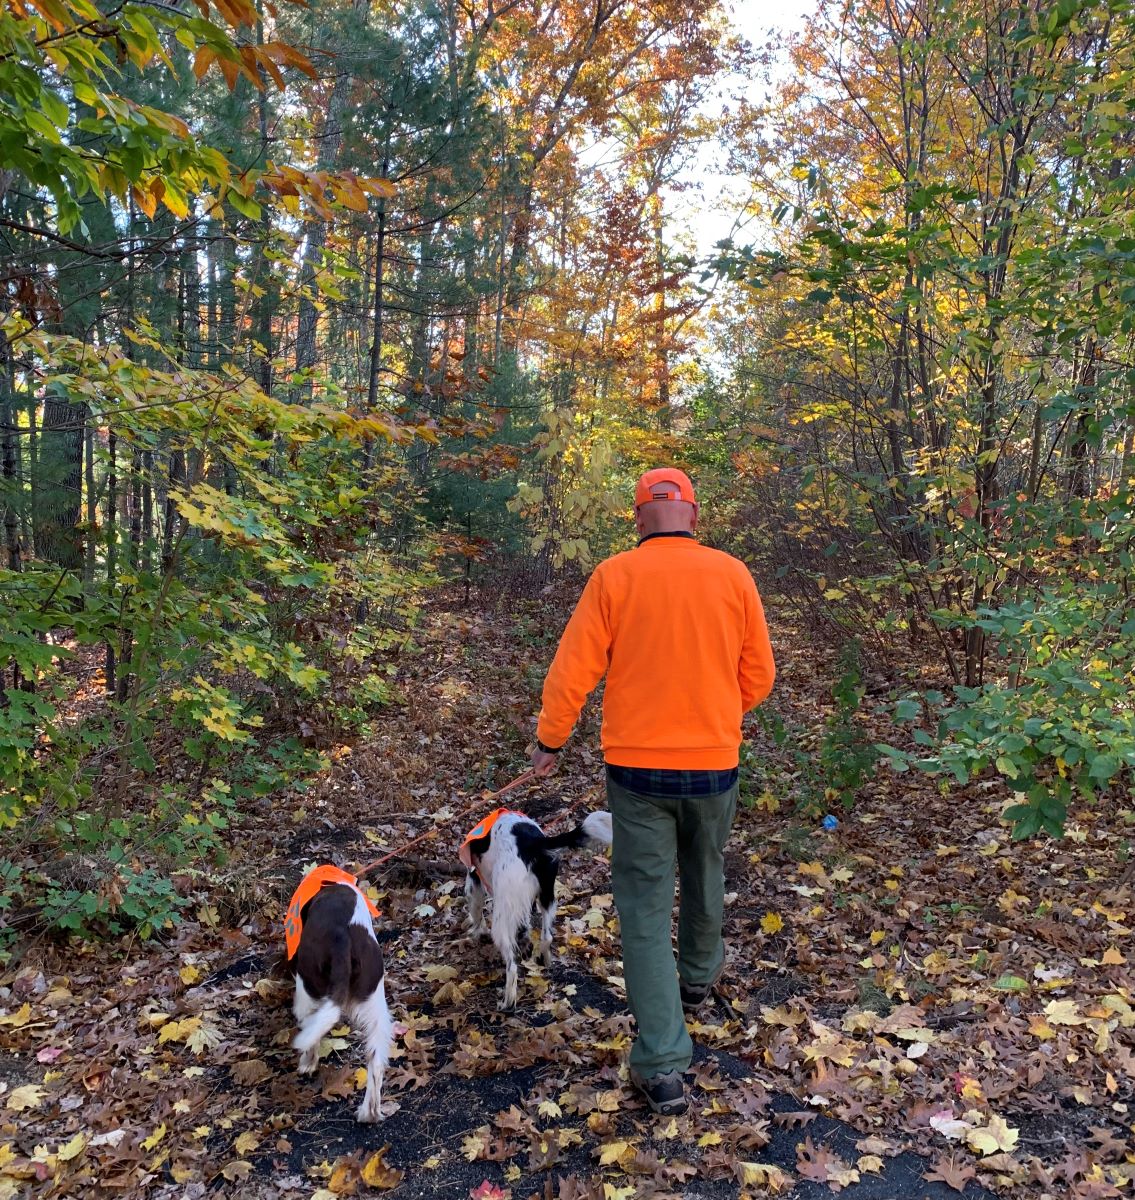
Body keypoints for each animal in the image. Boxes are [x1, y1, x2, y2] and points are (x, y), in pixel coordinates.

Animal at [280, 868, 391, 1118]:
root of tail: (343, 937)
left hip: (307, 989)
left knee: (311, 1034)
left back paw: (307, 1063)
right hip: (375, 1000)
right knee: (376, 1061)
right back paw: (369, 1112)